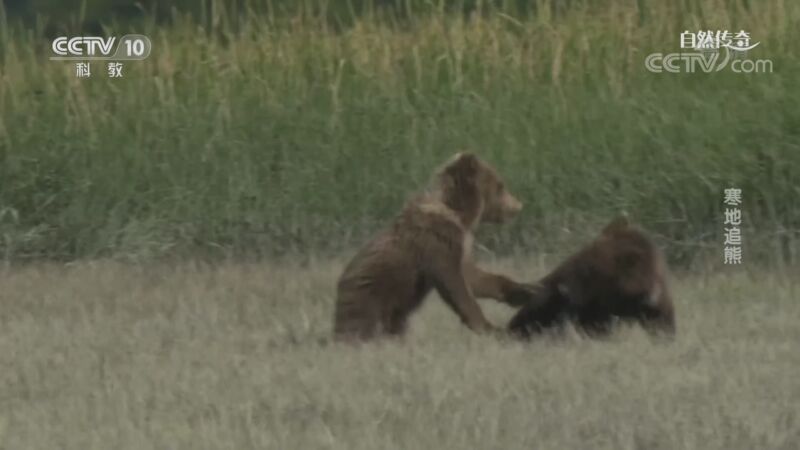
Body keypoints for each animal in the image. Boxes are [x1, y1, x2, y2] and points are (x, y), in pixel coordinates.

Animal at [334, 152, 534, 341]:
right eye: (500, 186)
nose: (518, 206)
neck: (459, 216)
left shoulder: (461, 246)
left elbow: (475, 277)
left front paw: (524, 290)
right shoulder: (438, 244)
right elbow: (457, 286)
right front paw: (491, 328)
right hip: (371, 300)